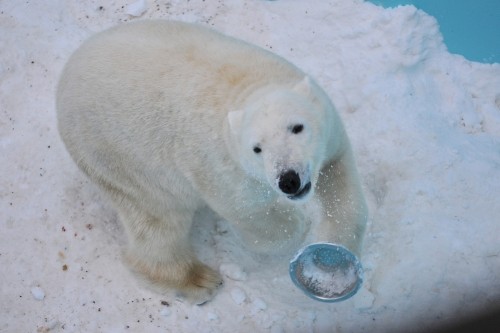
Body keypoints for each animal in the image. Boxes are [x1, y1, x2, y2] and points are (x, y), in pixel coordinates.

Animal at [56, 19, 368, 302]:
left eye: (297, 127)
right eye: (257, 149)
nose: (288, 180)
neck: (247, 89)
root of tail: (65, 78)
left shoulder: (328, 132)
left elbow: (340, 176)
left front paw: (334, 254)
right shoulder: (224, 169)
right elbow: (249, 212)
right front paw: (294, 225)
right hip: (120, 158)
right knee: (157, 219)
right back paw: (198, 280)